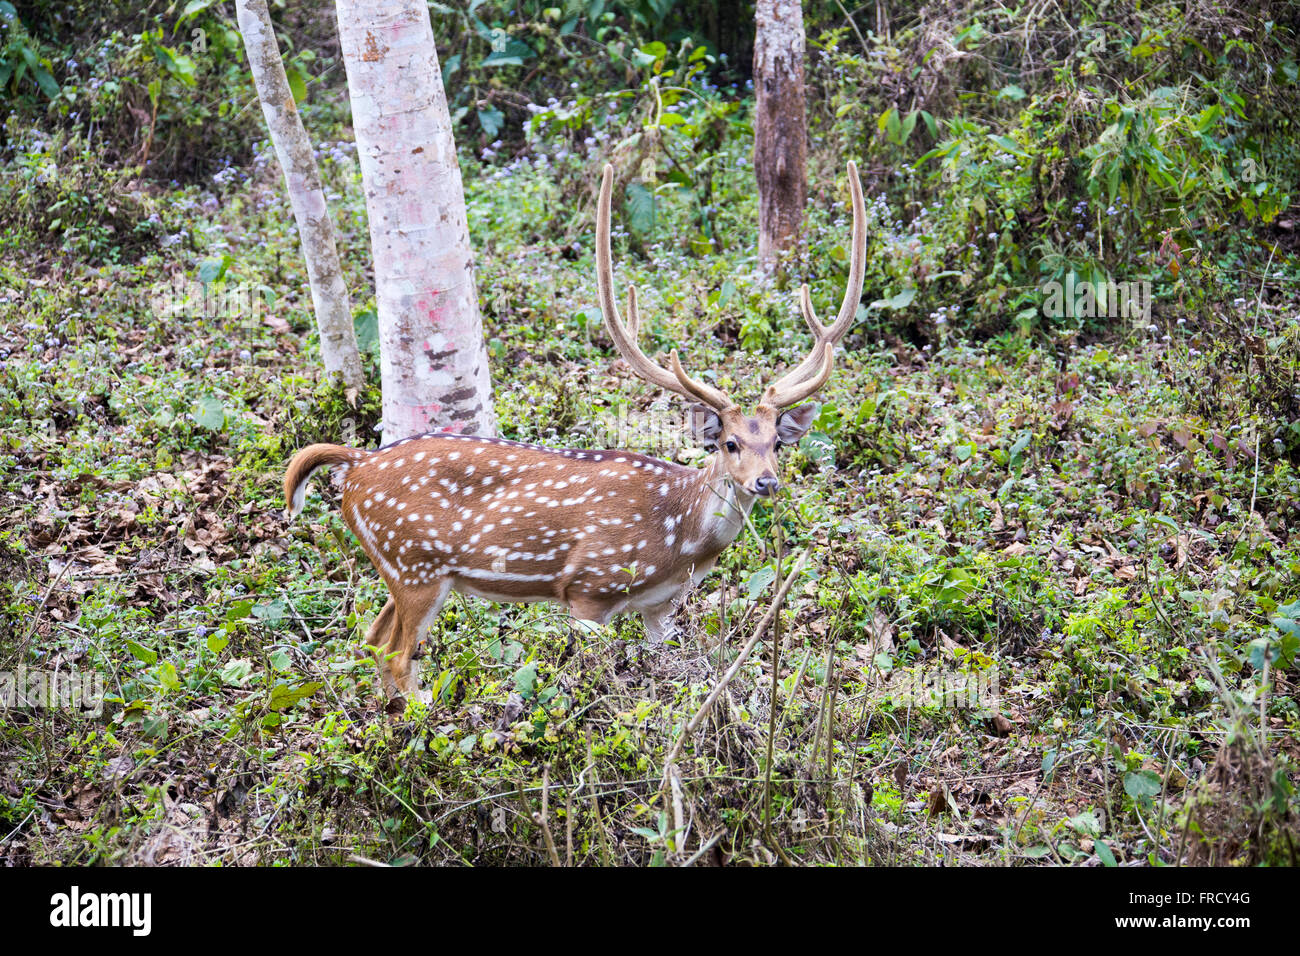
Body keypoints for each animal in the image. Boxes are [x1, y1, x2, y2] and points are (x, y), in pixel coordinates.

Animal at [289, 162, 868, 702]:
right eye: (729, 443)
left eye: (776, 443)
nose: (766, 482)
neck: (678, 540)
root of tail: (356, 465)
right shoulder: (589, 586)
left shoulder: (661, 605)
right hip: (416, 563)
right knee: (396, 651)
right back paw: (422, 718)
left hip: (403, 569)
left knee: (371, 639)